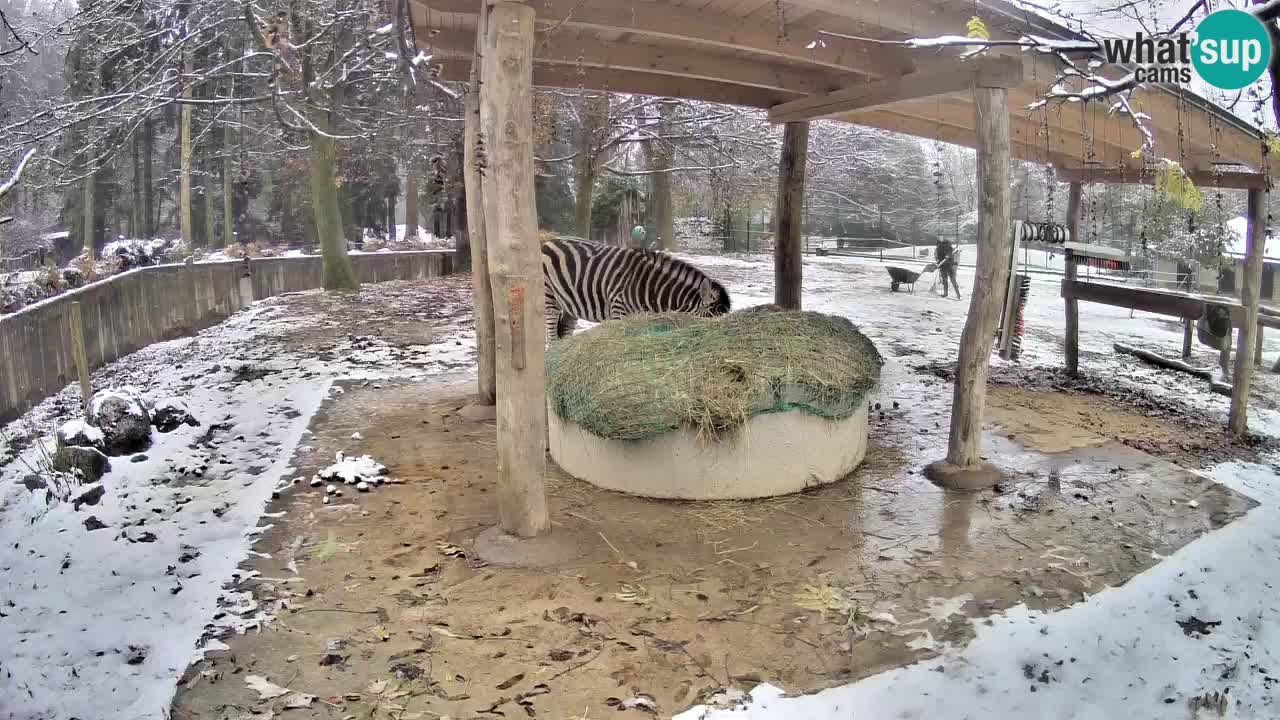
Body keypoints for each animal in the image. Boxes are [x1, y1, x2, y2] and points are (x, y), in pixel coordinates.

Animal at [540, 234, 732, 338]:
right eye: (708, 324)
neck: (651, 288)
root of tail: (549, 241)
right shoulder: (618, 313)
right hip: (549, 298)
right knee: (551, 336)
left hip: (570, 305)